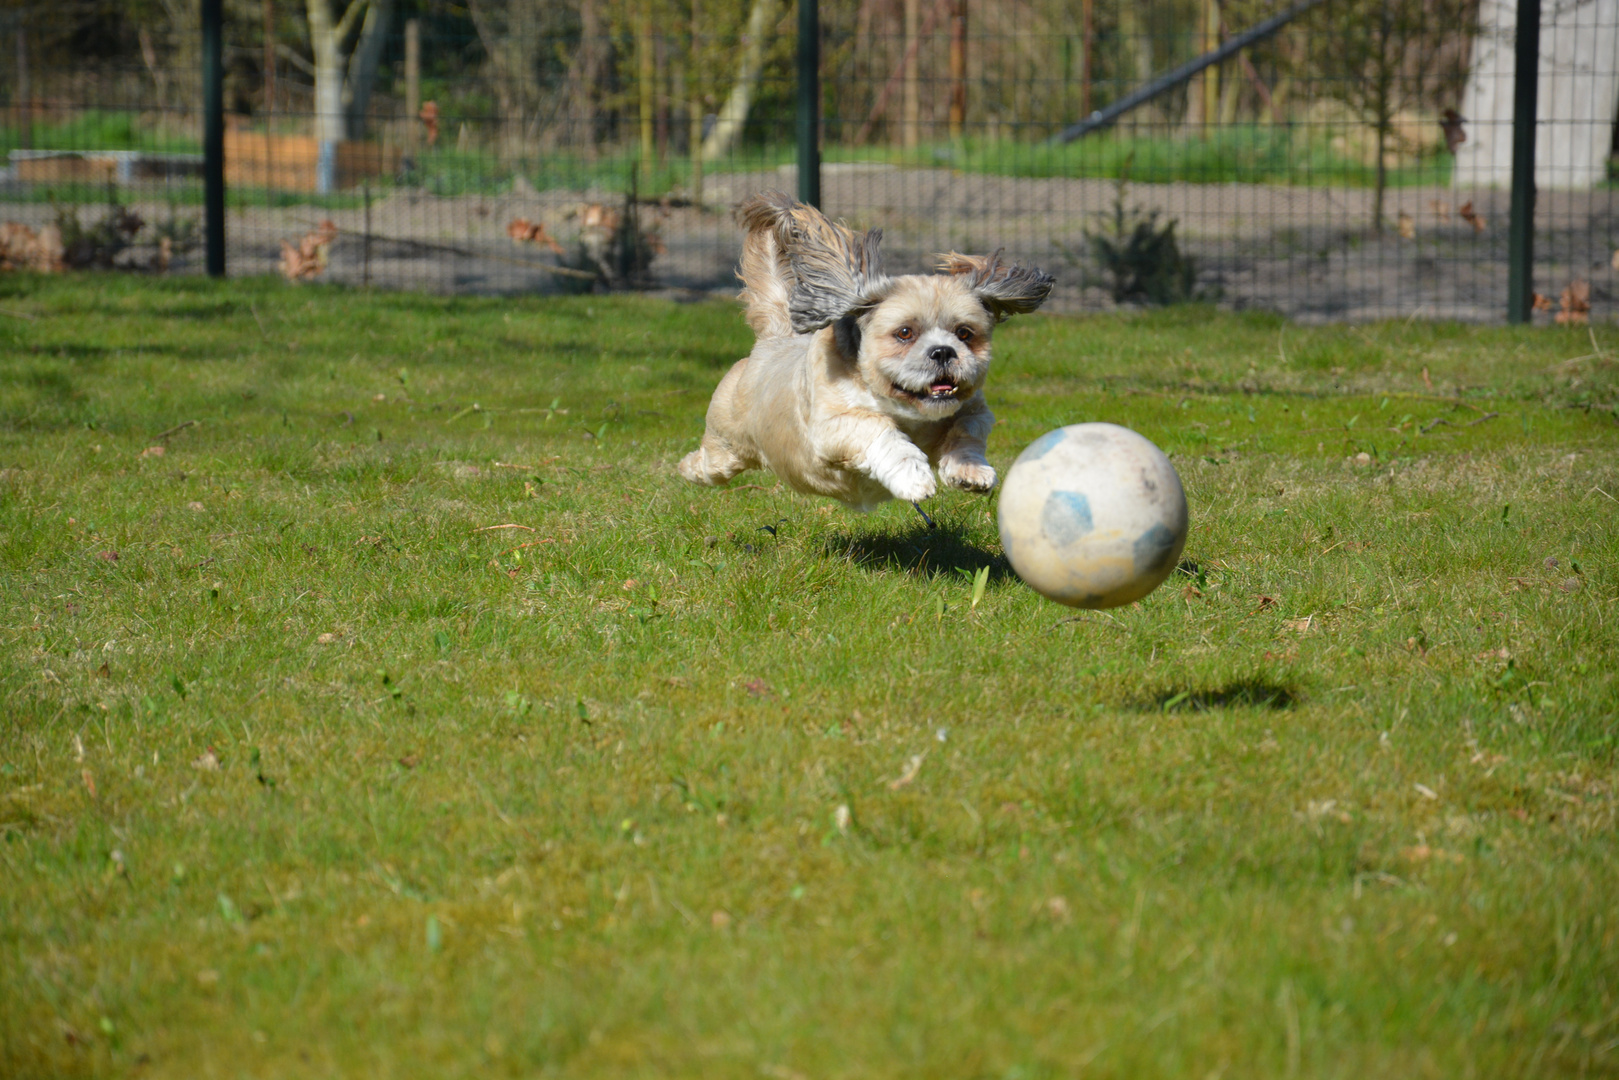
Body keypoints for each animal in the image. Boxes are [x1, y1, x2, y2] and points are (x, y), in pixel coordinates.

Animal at [676, 191, 1055, 514]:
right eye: (905, 333)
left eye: (965, 333)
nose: (943, 351)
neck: (908, 412)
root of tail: (774, 339)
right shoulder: (833, 426)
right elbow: (880, 429)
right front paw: (914, 476)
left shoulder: (974, 411)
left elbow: (966, 430)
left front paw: (971, 470)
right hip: (725, 446)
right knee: (709, 464)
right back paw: (685, 468)